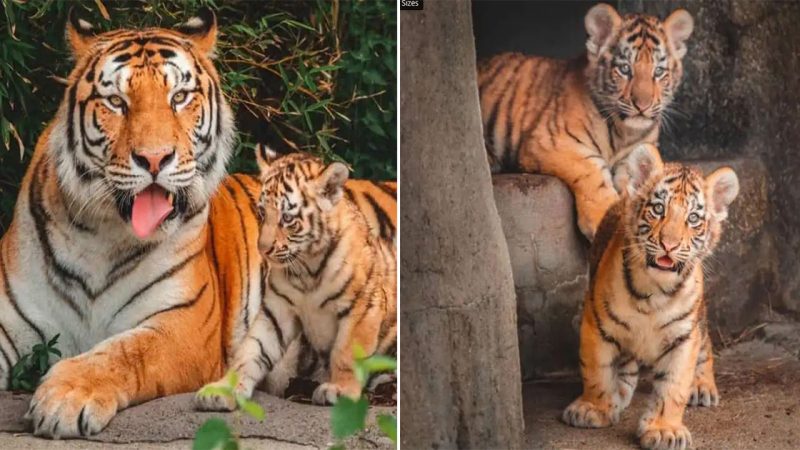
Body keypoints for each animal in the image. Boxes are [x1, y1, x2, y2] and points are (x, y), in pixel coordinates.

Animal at [0, 8, 266, 438]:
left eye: (179, 98)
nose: (155, 158)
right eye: (116, 102)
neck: (100, 235)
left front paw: (64, 398)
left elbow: (124, 353)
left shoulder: (183, 323)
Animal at [196, 147, 396, 408]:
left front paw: (340, 390)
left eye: (288, 218)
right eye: (262, 212)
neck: (307, 269)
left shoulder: (363, 306)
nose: (263, 249)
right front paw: (221, 391)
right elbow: (250, 350)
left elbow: (347, 353)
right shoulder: (276, 313)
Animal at [482, 3, 692, 241]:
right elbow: (591, 168)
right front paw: (603, 218)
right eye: (625, 69)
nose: (642, 105)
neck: (624, 131)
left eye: (658, 71)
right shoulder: (550, 141)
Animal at [564, 145, 740, 450]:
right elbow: (597, 370)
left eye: (693, 218)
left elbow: (674, 385)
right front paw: (594, 409)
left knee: (706, 348)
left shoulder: (684, 336)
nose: (669, 244)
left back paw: (702, 387)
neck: (655, 293)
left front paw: (664, 430)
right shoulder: (595, 323)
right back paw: (620, 392)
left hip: (700, 321)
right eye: (658, 209)